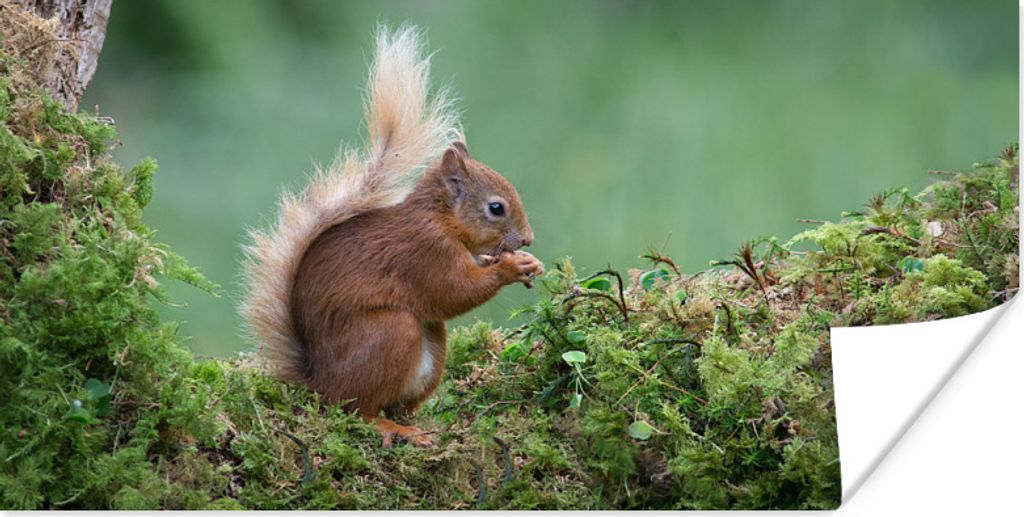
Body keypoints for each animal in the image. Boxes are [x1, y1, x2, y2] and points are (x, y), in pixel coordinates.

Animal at [240, 26, 543, 448]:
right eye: (496, 208)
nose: (527, 239)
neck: (440, 219)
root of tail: (319, 383)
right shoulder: (425, 252)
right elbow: (452, 292)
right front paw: (510, 268)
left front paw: (523, 262)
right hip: (390, 333)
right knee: (357, 409)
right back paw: (390, 428)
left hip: (431, 348)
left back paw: (419, 426)